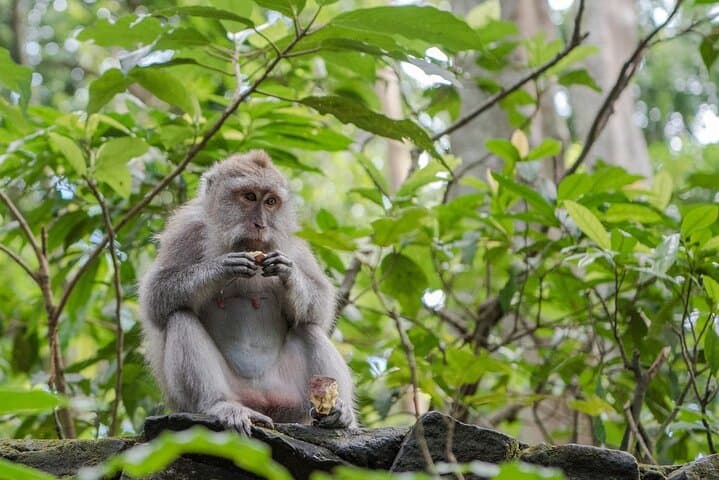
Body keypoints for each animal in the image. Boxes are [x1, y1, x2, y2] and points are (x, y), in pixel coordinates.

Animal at [138, 150, 356, 434]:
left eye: (271, 201)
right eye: (250, 196)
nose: (261, 224)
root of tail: (261, 403)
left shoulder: (293, 241)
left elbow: (320, 306)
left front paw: (288, 273)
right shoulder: (186, 231)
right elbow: (156, 297)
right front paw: (221, 268)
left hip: (290, 400)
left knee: (308, 328)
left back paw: (339, 413)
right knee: (180, 316)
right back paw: (219, 405)